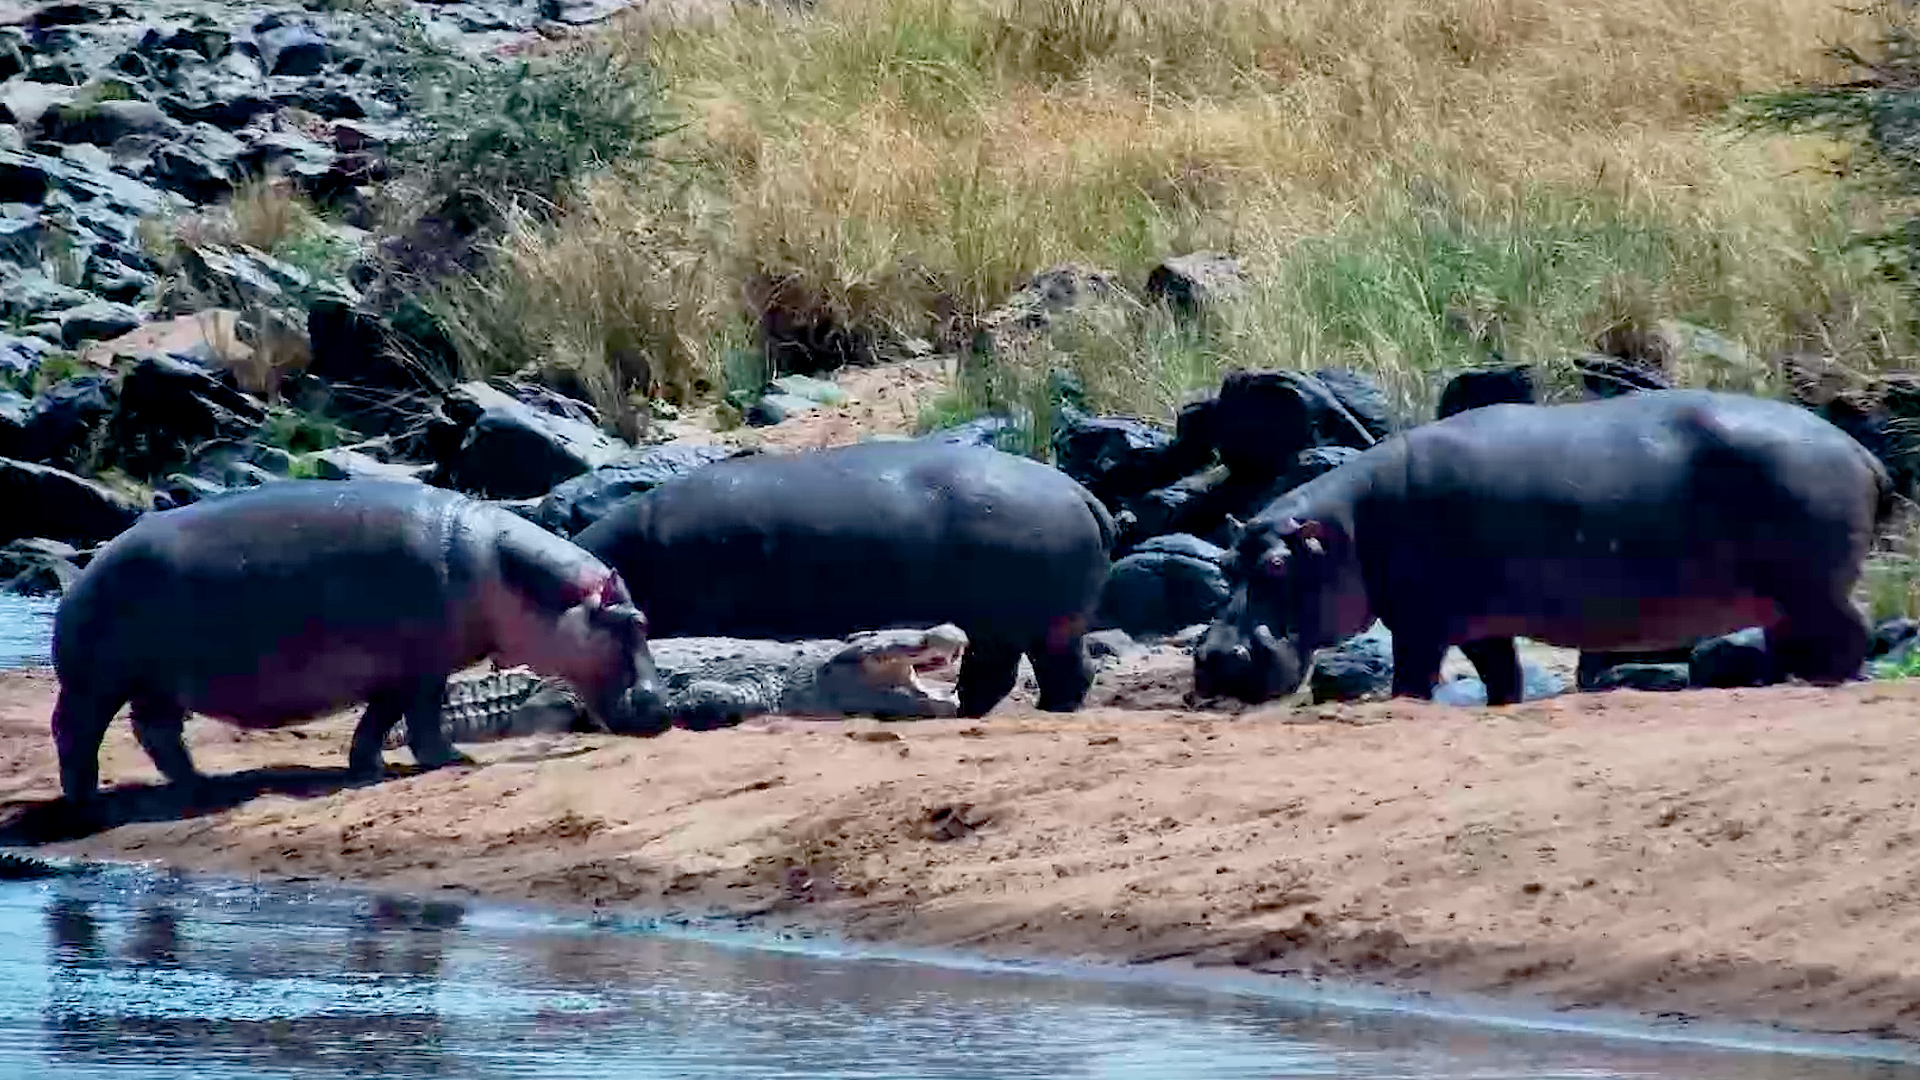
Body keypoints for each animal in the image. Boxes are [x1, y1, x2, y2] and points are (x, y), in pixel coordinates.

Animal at [49, 479, 666, 810]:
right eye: (631, 620)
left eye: (646, 617)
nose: (663, 706)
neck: (508, 574)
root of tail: (86, 569)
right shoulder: (423, 669)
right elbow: (420, 719)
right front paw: (453, 760)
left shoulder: (401, 671)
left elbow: (377, 721)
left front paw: (367, 767)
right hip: (98, 682)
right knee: (78, 732)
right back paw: (87, 798)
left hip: (156, 683)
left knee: (155, 733)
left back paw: (201, 785)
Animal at [1194, 389, 1895, 705]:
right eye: (1225, 562)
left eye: (1278, 565)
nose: (1215, 656)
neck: (1347, 528)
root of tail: (1860, 452)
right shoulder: (1479, 624)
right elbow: (1502, 678)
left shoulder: (1420, 622)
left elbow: (1411, 680)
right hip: (1786, 599)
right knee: (1797, 642)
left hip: (1815, 587)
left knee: (1851, 635)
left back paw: (1833, 683)